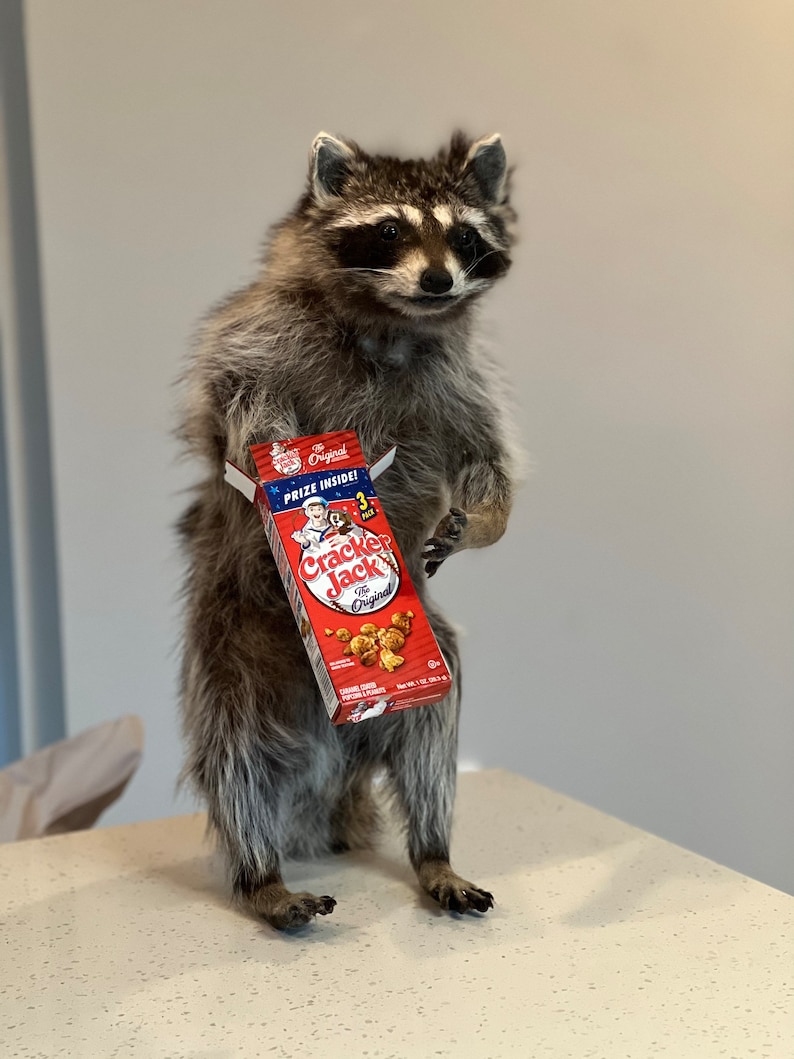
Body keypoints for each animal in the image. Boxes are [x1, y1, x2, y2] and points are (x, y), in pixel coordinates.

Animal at [178, 131, 519, 930]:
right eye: (389, 230)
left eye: (464, 236)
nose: (438, 281)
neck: (389, 322)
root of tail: (327, 767)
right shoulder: (256, 339)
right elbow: (243, 416)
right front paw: (279, 474)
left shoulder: (460, 386)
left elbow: (487, 465)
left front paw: (482, 522)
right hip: (231, 643)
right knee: (234, 755)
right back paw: (261, 874)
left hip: (427, 673)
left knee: (433, 735)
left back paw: (434, 854)